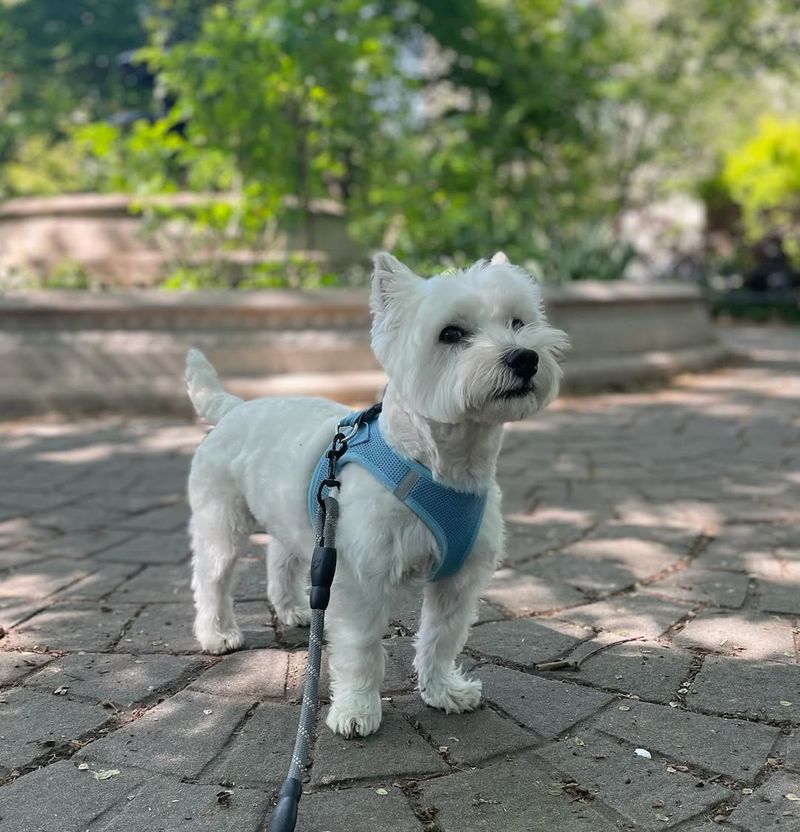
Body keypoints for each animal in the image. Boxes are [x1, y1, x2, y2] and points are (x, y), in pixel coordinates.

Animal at [186, 252, 568, 736]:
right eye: (451, 333)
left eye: (519, 322)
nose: (525, 358)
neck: (440, 467)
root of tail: (232, 408)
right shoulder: (361, 578)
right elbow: (362, 648)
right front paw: (356, 711)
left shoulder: (458, 580)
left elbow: (441, 637)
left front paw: (443, 691)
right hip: (222, 522)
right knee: (213, 578)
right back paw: (217, 634)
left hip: (301, 520)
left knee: (281, 558)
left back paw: (293, 609)